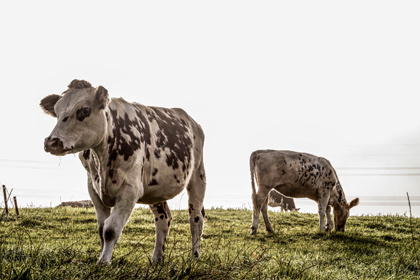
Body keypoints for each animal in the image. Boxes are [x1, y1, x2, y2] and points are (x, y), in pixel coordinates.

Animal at [39, 80, 207, 264]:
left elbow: (110, 229)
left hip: (198, 174)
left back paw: (194, 257)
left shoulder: (130, 189)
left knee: (196, 217)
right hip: (155, 187)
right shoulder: (93, 187)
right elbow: (101, 228)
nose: (52, 142)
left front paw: (104, 262)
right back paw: (157, 258)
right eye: (56, 111)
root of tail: (192, 121)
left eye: (84, 110)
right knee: (163, 218)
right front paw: (101, 257)